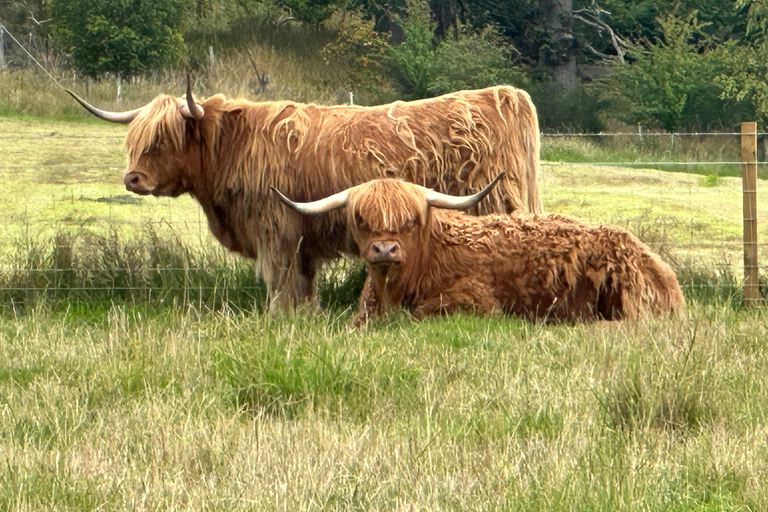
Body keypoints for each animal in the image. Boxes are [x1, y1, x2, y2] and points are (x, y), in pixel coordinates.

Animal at [69, 81, 544, 312]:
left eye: (162, 140)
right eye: (134, 139)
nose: (132, 178)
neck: (232, 147)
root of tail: (503, 94)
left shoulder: (275, 229)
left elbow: (282, 282)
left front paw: (280, 318)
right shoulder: (300, 237)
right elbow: (303, 283)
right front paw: (306, 314)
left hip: (492, 208)